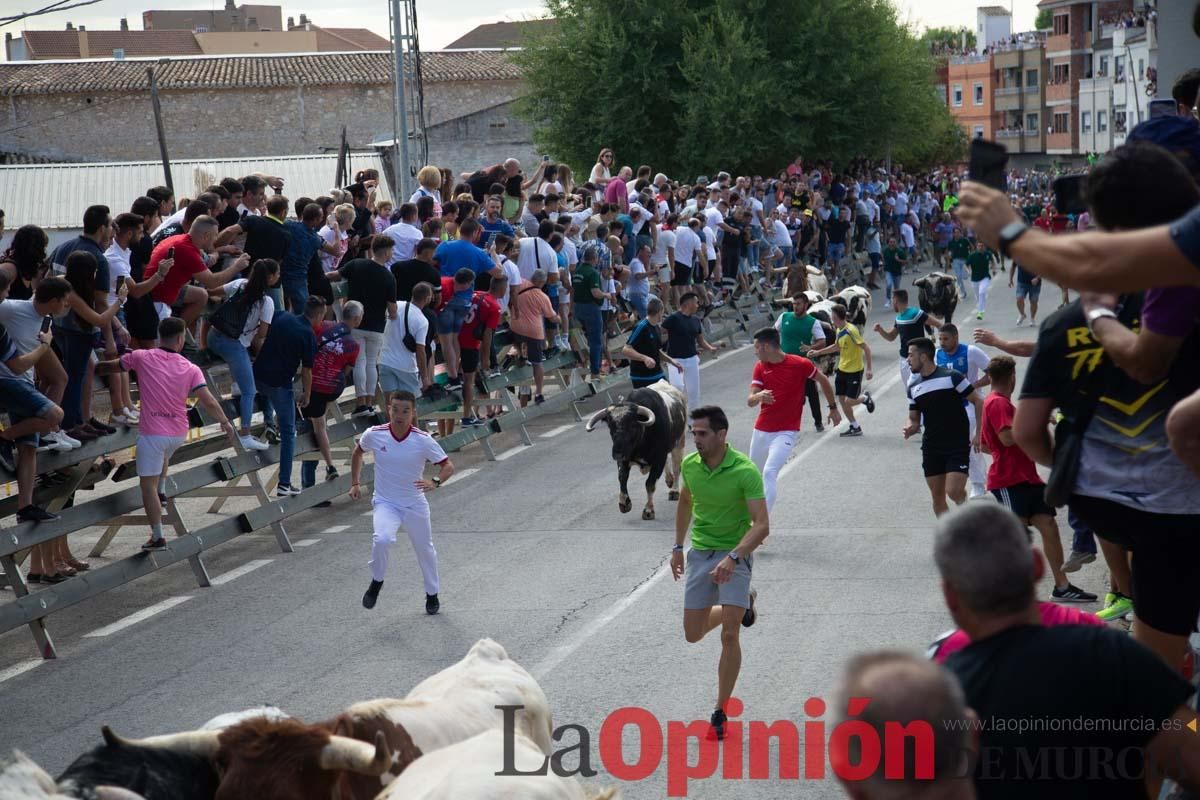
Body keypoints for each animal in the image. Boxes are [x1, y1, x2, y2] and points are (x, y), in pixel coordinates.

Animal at [588, 381, 691, 522]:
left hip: (679, 442)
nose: (617, 452)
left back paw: (674, 490)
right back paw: (669, 480)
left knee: (676, 467)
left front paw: (648, 510)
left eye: (632, 424)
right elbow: (622, 477)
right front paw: (624, 503)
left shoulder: (659, 459)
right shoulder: (624, 459)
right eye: (610, 425)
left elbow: (650, 484)